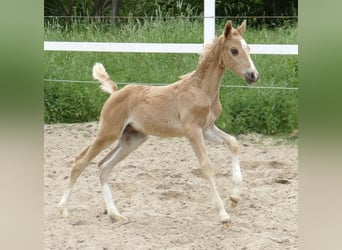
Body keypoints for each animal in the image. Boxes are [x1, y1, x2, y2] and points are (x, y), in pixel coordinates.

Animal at [58, 20, 258, 223]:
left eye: (248, 48)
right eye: (234, 50)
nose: (253, 75)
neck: (201, 90)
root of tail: (115, 92)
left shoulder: (207, 128)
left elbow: (233, 143)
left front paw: (234, 197)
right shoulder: (192, 131)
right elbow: (207, 166)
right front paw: (223, 213)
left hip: (132, 138)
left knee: (103, 167)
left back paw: (115, 214)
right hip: (108, 133)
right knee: (80, 161)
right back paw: (63, 209)